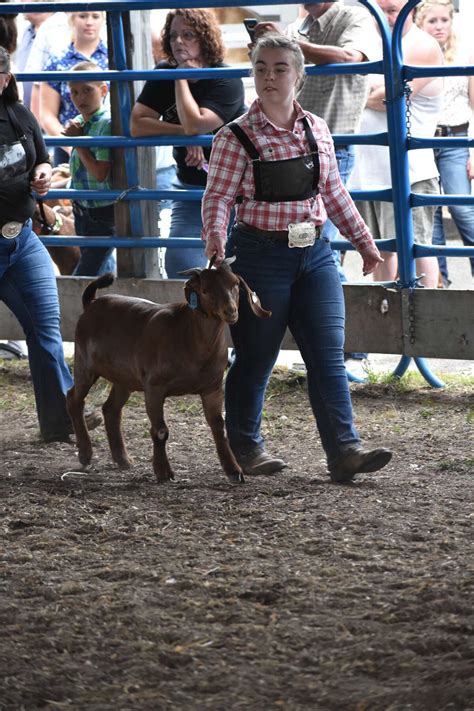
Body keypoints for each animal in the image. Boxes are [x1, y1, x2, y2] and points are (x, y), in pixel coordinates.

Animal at [65, 258, 270, 486]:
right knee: (74, 399)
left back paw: (123, 459)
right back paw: (85, 453)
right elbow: (161, 431)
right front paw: (163, 471)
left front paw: (234, 471)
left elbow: (219, 428)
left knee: (111, 409)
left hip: (124, 377)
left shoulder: (213, 387)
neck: (187, 334)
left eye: (235, 285)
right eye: (205, 290)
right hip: (85, 364)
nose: (231, 311)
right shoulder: (155, 387)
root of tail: (91, 303)